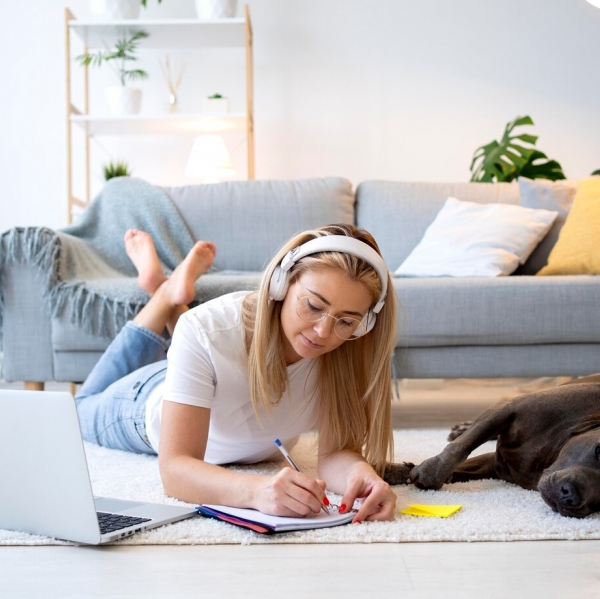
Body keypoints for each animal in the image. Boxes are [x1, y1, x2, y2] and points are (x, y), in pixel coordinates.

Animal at [382, 376, 600, 520]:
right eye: (599, 451)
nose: (572, 497)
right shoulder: (507, 409)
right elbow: (461, 447)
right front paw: (415, 472)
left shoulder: (495, 464)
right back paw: (461, 428)